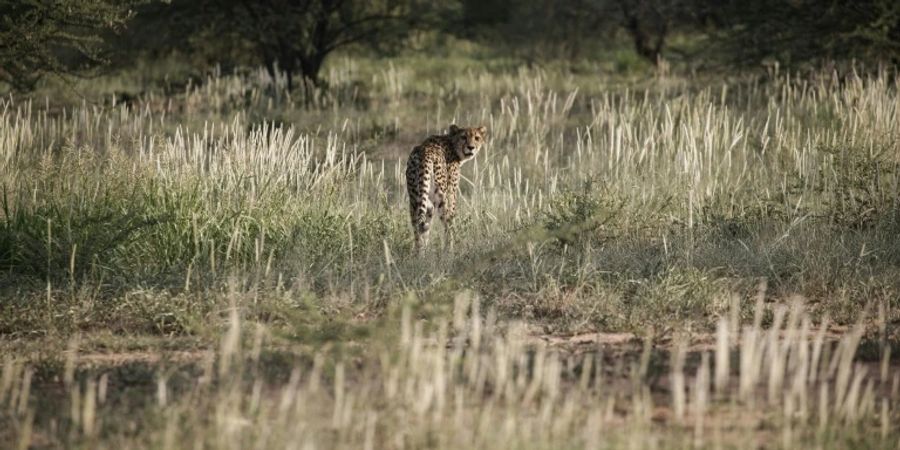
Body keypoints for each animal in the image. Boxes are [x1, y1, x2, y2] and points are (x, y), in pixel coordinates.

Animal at [408, 124, 488, 253]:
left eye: (476, 138)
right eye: (463, 137)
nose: (471, 147)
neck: (452, 144)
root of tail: (425, 153)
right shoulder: (452, 194)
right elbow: (451, 219)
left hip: (415, 198)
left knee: (418, 226)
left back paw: (420, 253)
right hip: (442, 197)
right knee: (446, 224)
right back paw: (449, 251)